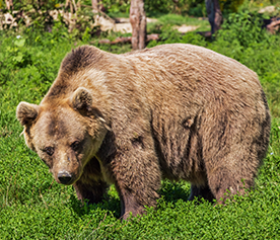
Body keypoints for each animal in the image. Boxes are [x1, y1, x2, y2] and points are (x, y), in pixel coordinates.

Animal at [16, 43, 270, 219]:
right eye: (48, 149)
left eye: (75, 142)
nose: (64, 176)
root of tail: (255, 77)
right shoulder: (87, 155)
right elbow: (89, 180)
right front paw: (91, 203)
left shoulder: (120, 118)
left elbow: (133, 163)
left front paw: (132, 215)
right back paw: (198, 199)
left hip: (222, 113)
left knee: (229, 160)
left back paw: (231, 203)